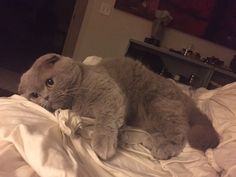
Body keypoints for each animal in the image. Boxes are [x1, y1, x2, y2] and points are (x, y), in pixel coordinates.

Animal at [18, 54, 219, 160]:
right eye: (34, 95)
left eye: (50, 82)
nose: (45, 98)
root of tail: (186, 97)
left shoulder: (108, 92)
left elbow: (106, 120)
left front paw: (103, 143)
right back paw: (150, 140)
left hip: (159, 105)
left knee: (180, 131)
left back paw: (162, 147)